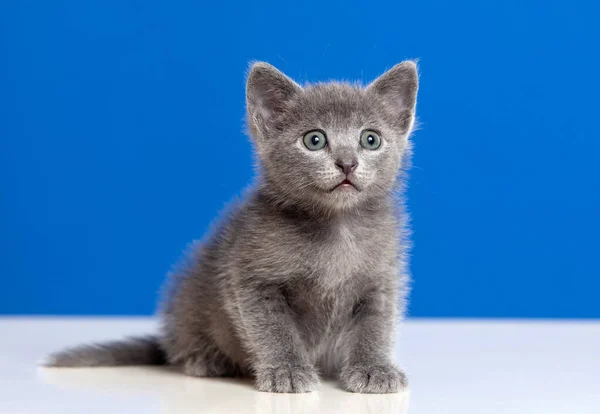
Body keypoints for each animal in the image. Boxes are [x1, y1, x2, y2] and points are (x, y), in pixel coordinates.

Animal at [44, 59, 420, 392]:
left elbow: (376, 327)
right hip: (189, 294)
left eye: (370, 139)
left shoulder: (381, 279)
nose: (347, 163)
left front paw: (374, 369)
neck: (336, 226)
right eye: (314, 140)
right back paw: (205, 359)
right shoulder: (251, 275)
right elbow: (272, 328)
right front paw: (287, 370)